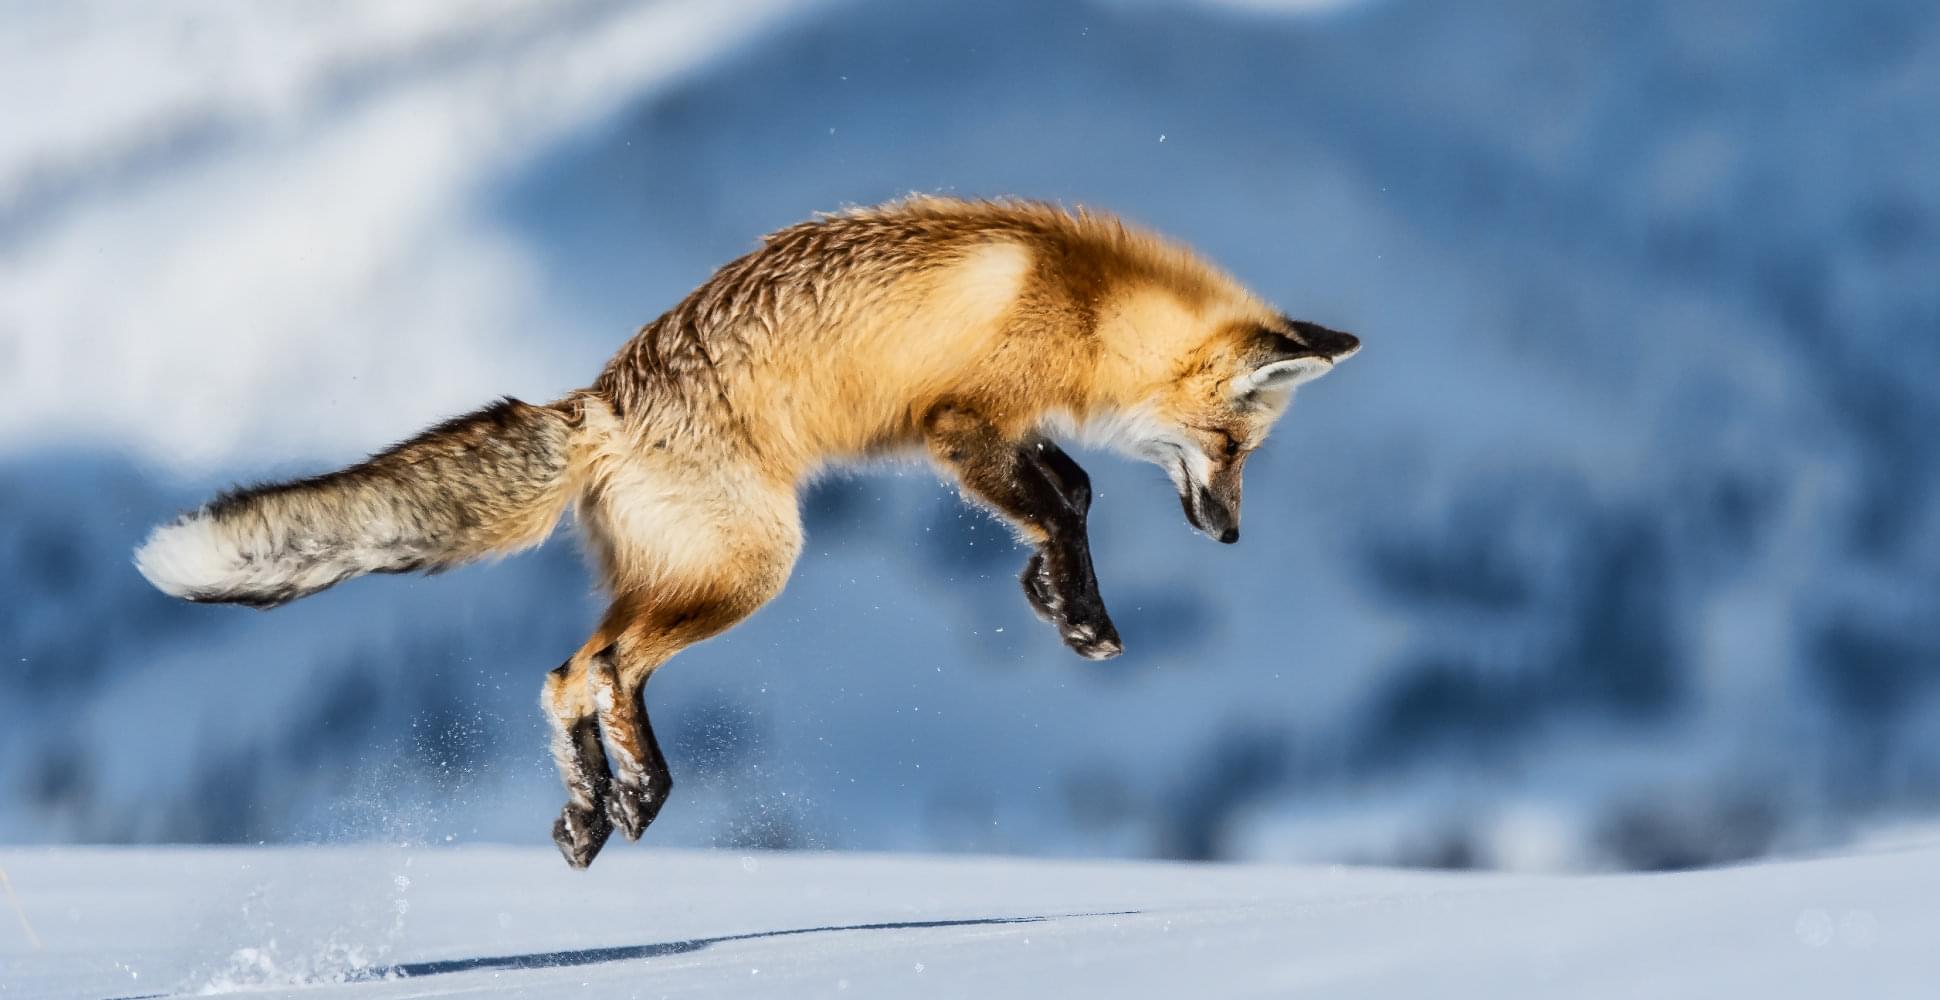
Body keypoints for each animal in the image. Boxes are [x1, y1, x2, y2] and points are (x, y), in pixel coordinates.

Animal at [134, 196, 1359, 868]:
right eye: (1233, 445)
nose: (1229, 537)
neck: (1083, 298)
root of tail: (598, 402)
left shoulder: (991, 434)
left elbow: (1070, 491)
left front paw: (1051, 597)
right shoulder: (960, 424)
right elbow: (1066, 498)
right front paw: (1080, 615)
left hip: (678, 572)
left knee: (564, 675)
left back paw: (592, 810)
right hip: (750, 568)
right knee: (605, 668)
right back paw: (639, 792)